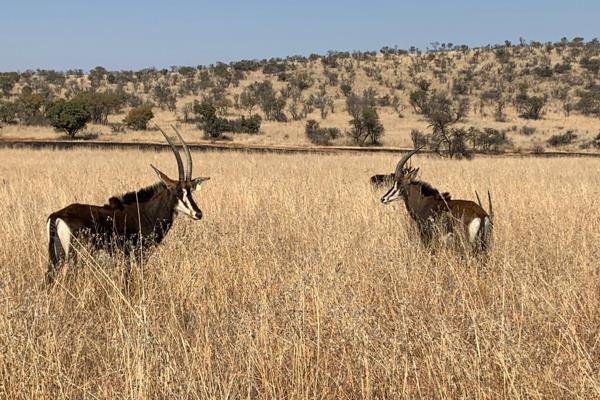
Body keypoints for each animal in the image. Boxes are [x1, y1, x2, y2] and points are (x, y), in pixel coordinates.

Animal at [45, 125, 209, 284]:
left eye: (190, 191)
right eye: (177, 191)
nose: (198, 213)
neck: (146, 213)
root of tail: (57, 216)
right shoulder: (136, 256)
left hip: (55, 258)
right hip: (73, 257)